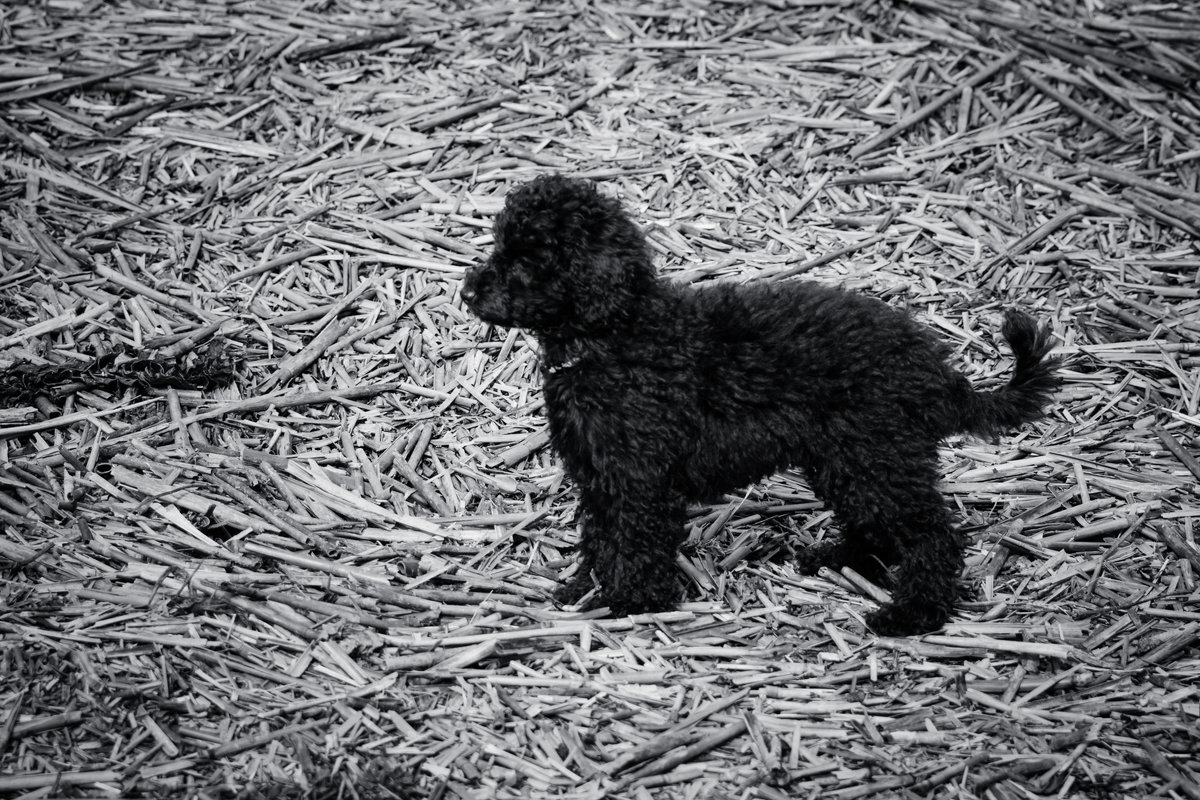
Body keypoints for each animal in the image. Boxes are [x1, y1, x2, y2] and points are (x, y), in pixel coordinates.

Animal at [460, 175, 1060, 638]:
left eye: (532, 257)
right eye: (501, 245)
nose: (468, 292)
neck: (614, 336)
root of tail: (934, 368)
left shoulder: (638, 477)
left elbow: (633, 539)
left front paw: (632, 602)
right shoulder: (600, 473)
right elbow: (600, 536)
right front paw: (582, 589)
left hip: (875, 458)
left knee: (932, 534)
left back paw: (914, 614)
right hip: (847, 461)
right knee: (879, 527)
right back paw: (837, 560)